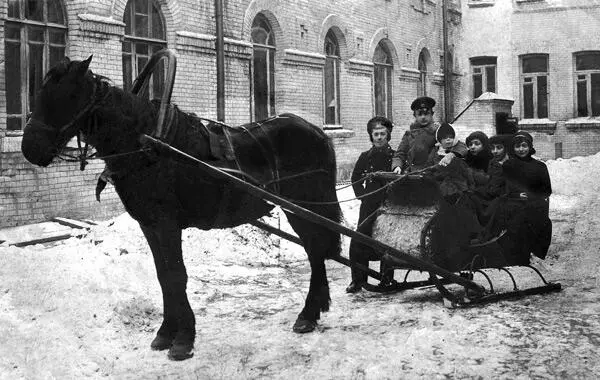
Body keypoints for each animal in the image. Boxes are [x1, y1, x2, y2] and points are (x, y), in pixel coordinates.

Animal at [21, 55, 342, 360]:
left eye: (68, 95)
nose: (29, 148)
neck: (147, 145)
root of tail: (318, 132)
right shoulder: (149, 225)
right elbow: (164, 276)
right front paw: (165, 333)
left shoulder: (167, 224)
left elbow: (177, 275)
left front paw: (183, 339)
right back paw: (315, 309)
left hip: (304, 206)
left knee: (315, 250)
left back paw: (308, 314)